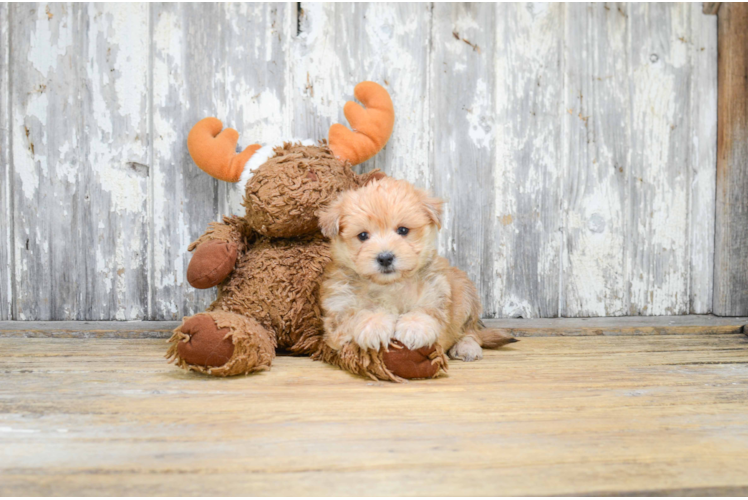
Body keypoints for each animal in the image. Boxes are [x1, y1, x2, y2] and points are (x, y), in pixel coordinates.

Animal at [316, 178, 516, 362]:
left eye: (403, 230)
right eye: (363, 235)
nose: (385, 258)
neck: (389, 285)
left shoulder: (436, 295)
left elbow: (424, 312)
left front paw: (414, 327)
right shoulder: (337, 312)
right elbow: (356, 315)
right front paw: (374, 324)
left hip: (466, 294)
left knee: (470, 331)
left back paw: (466, 347)